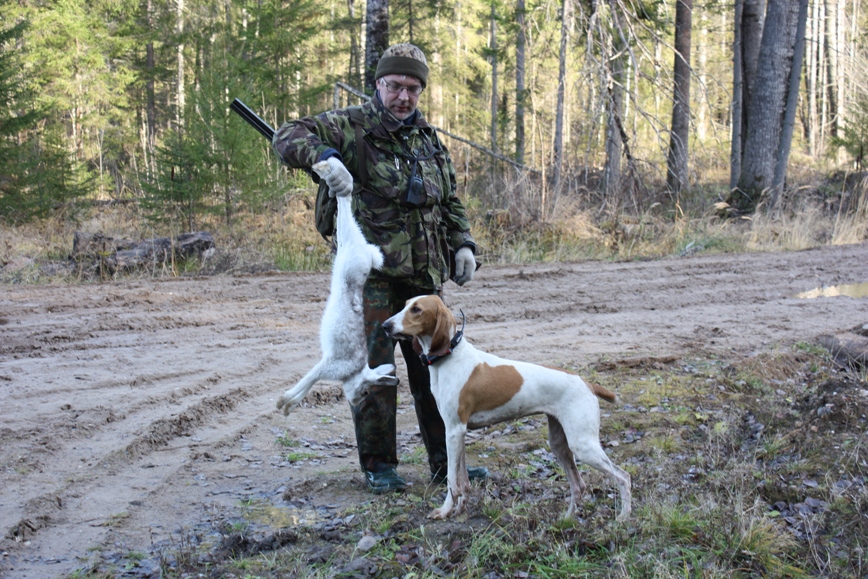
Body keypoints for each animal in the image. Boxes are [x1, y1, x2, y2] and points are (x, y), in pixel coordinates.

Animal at [276, 161, 398, 414]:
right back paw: (328, 169)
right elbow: (309, 378)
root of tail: (366, 251)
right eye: (365, 391)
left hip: (344, 245)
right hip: (348, 240)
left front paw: (288, 407)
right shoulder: (329, 365)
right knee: (345, 201)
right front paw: (283, 402)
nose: (356, 401)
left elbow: (310, 383)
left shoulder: (326, 365)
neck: (356, 372)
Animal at [384, 294, 636, 520]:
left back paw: (623, 518)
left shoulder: (453, 431)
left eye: (417, 309)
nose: (385, 325)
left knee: (623, 477)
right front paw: (459, 510)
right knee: (579, 485)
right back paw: (566, 520)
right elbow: (463, 481)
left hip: (583, 445)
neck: (450, 356)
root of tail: (587, 383)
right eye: (405, 305)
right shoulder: (459, 432)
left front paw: (445, 511)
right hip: (560, 445)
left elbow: (452, 481)